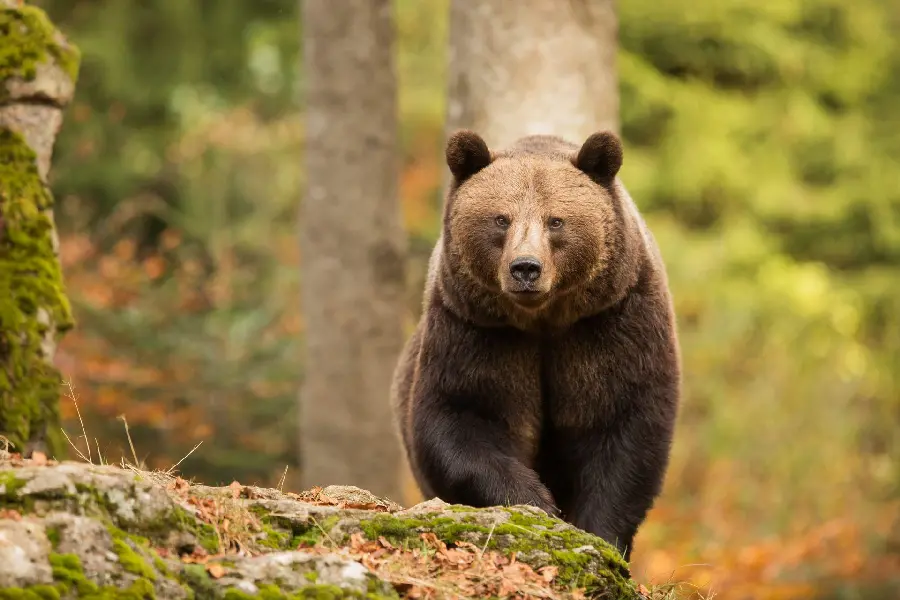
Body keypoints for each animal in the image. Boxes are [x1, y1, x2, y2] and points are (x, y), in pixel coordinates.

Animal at [390, 127, 680, 564]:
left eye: (556, 221)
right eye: (500, 219)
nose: (525, 268)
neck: (543, 319)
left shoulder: (612, 325)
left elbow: (624, 428)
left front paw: (599, 535)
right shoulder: (478, 332)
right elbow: (460, 416)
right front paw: (536, 501)